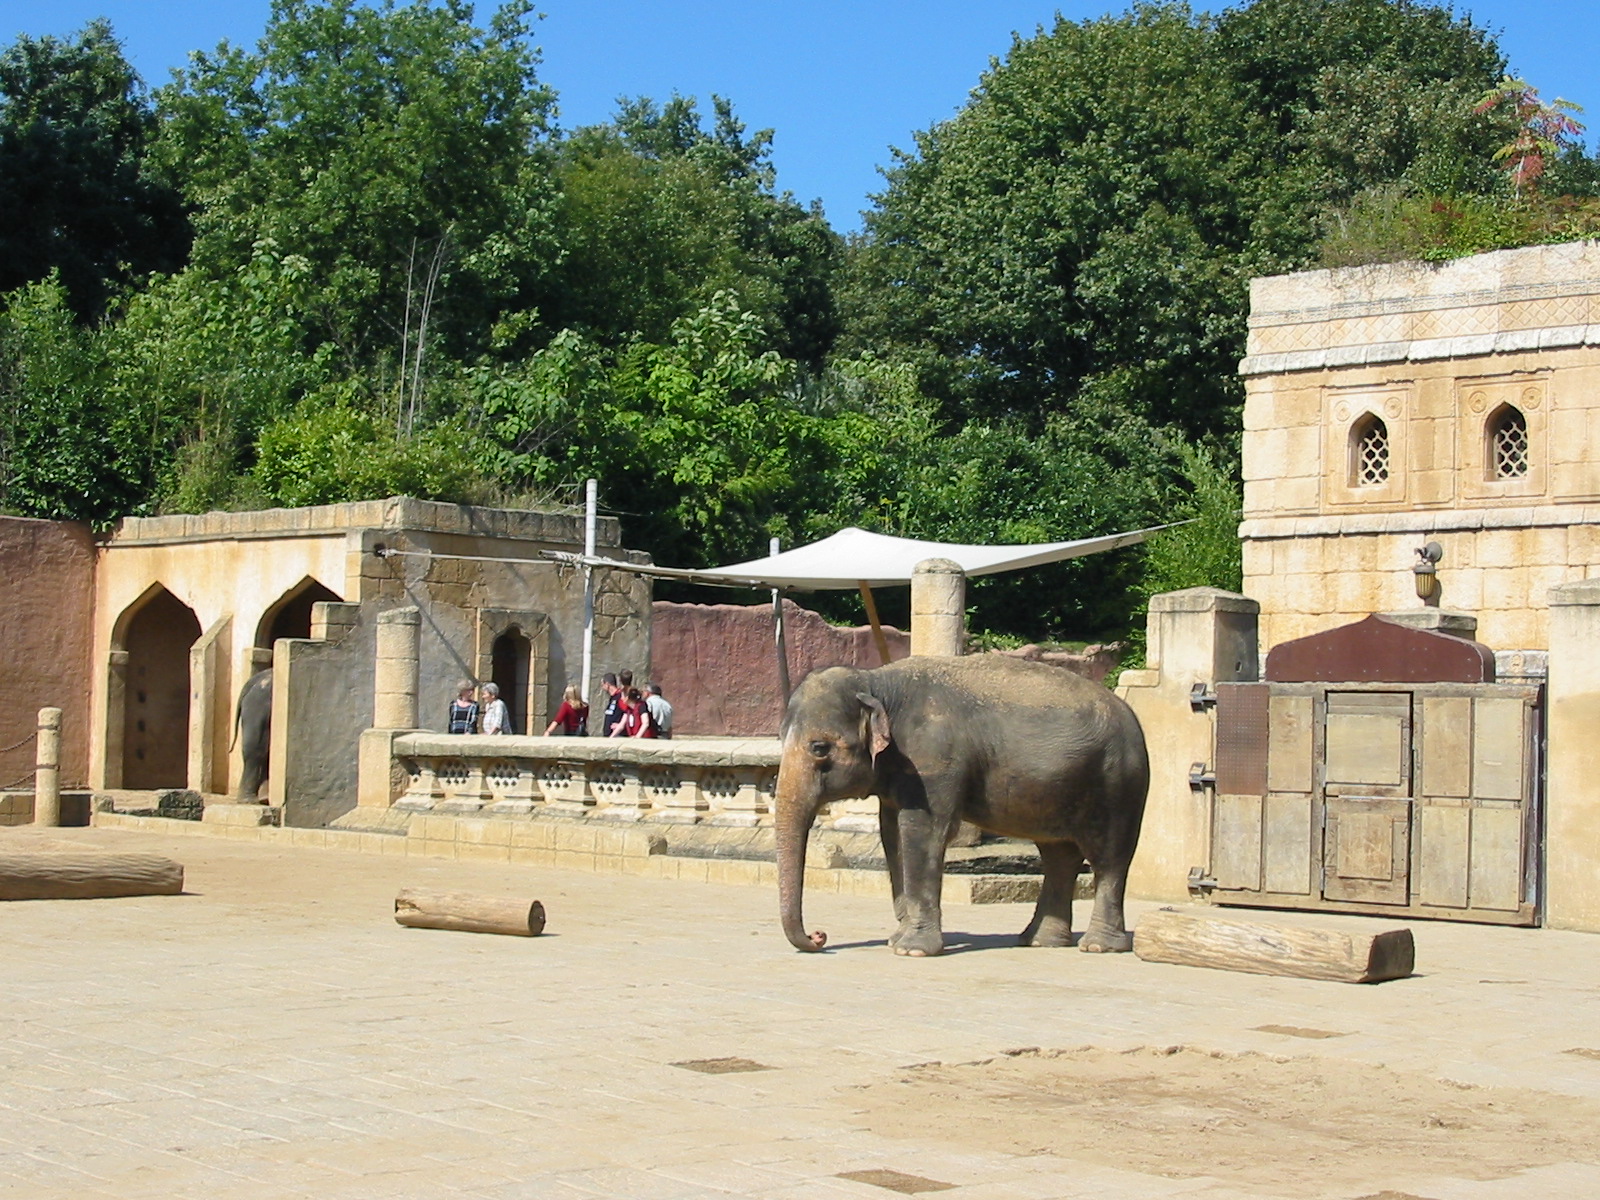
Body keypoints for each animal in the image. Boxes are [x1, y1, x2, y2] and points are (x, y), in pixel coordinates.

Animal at [776, 655, 1149, 958]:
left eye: (819, 748)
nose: (819, 936)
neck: (876, 682)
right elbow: (892, 834)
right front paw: (897, 940)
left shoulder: (933, 759)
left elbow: (922, 830)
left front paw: (911, 950)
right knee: (1059, 855)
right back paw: (1040, 941)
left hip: (1119, 784)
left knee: (1109, 858)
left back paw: (1097, 946)